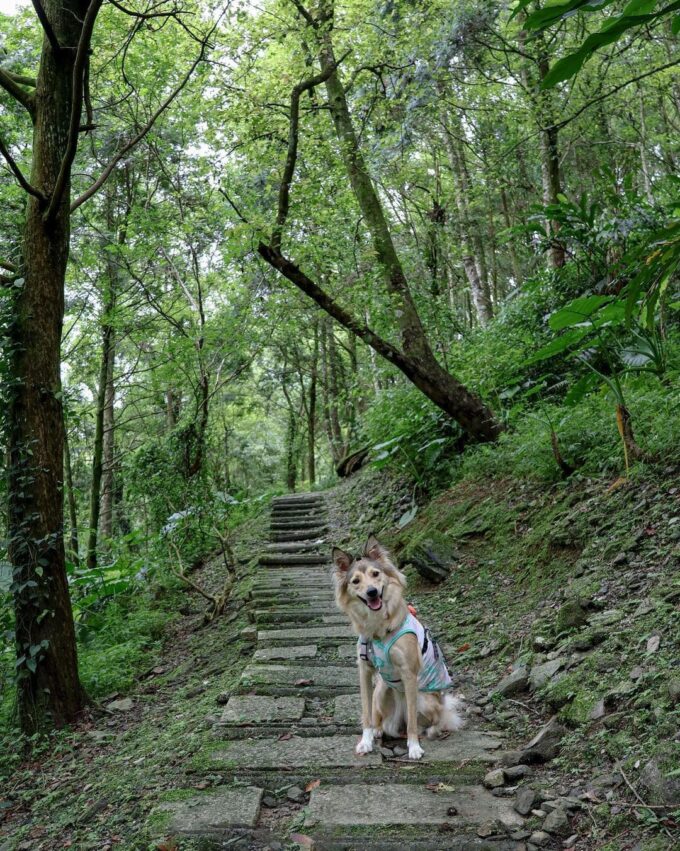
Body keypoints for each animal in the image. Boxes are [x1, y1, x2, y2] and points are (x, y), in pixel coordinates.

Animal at [332, 536, 464, 764]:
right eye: (355, 581)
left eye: (376, 574)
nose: (372, 592)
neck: (378, 630)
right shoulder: (364, 670)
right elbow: (366, 713)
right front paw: (365, 741)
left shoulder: (409, 673)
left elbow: (412, 722)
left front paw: (414, 747)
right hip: (381, 691)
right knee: (383, 722)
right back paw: (378, 731)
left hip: (425, 700)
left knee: (430, 720)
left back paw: (429, 732)